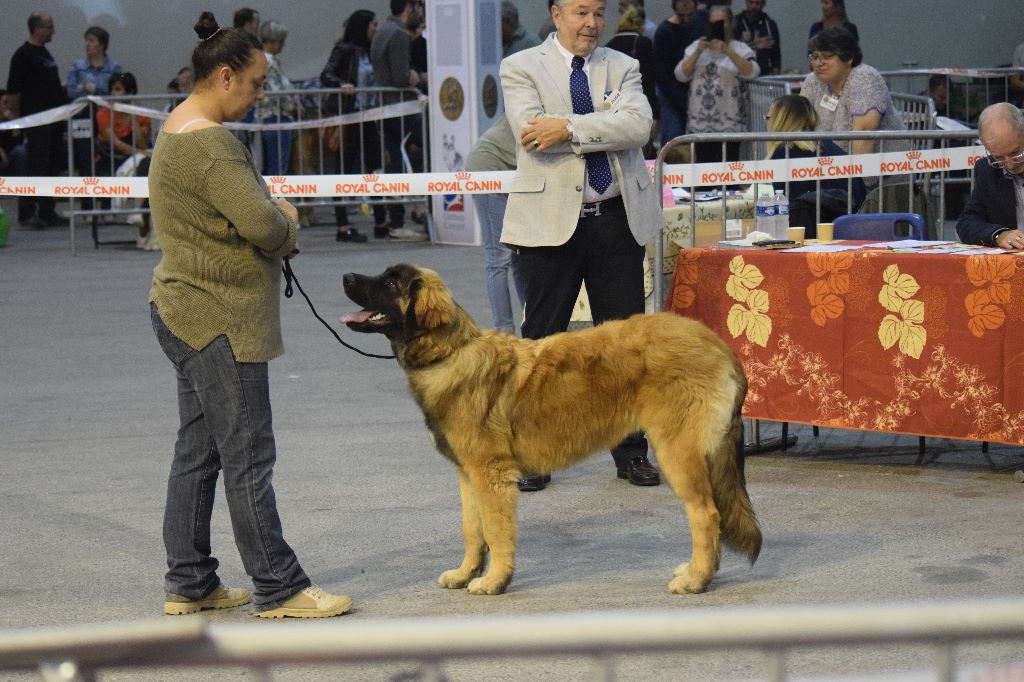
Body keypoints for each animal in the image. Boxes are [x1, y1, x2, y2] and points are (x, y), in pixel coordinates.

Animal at [344, 262, 761, 593]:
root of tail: (718, 343)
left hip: (676, 450)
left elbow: (495, 530)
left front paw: (494, 580)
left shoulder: (489, 473)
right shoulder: (468, 474)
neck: (450, 352)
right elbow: (471, 530)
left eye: (391, 283)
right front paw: (465, 573)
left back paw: (696, 579)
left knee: (706, 515)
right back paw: (697, 571)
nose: (346, 277)